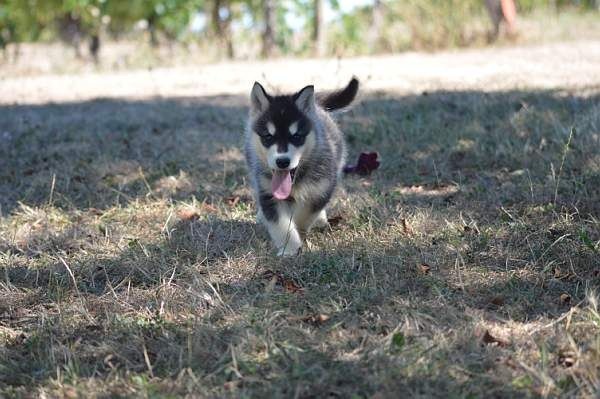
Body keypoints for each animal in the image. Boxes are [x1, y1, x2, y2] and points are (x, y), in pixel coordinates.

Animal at [245, 79, 358, 256]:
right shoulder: (267, 193)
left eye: (297, 136)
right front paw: (289, 250)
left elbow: (305, 214)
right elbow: (281, 224)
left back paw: (320, 220)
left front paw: (299, 231)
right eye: (268, 137)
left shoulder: (322, 189)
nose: (282, 161)